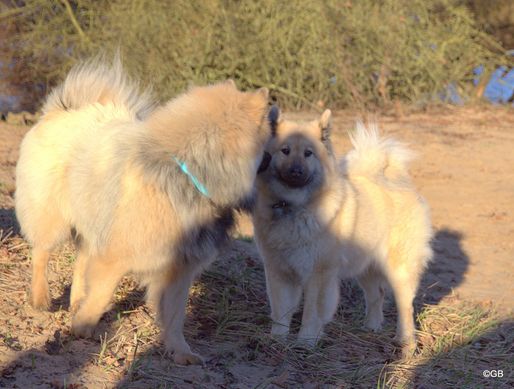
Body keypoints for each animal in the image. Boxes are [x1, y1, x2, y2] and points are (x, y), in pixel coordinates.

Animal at [254, 107, 430, 354]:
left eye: (308, 154)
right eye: (285, 151)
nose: (296, 171)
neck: (293, 206)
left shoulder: (318, 275)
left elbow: (311, 314)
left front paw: (305, 343)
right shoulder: (279, 271)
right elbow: (281, 311)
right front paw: (277, 341)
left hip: (398, 270)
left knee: (405, 306)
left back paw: (405, 342)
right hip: (366, 266)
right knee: (376, 295)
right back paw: (370, 328)